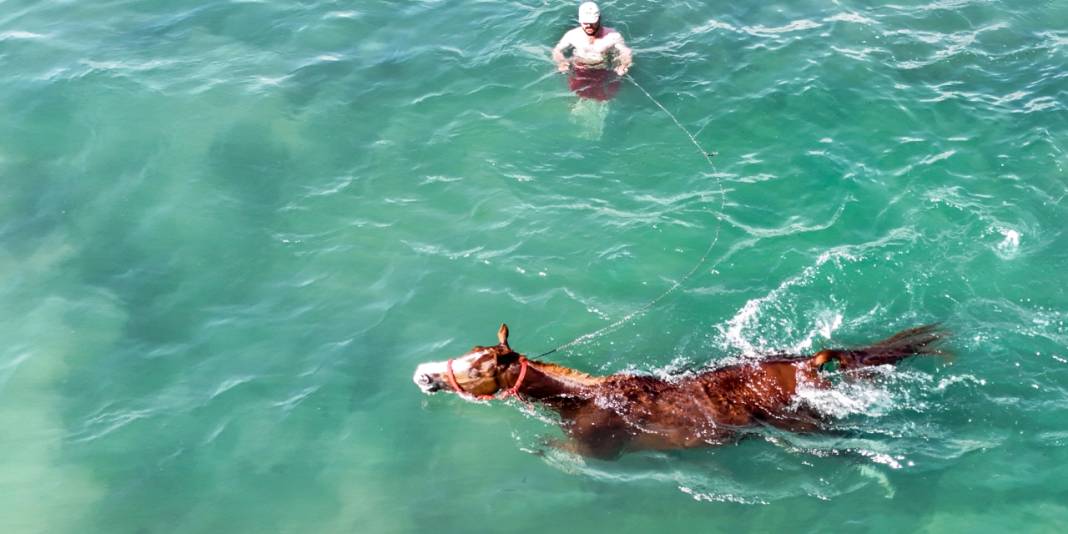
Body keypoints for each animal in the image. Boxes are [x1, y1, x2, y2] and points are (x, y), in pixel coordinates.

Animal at [412, 320, 948, 459]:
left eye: (477, 367)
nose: (423, 374)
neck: (584, 399)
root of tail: (811, 361)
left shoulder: (595, 452)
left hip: (805, 421)